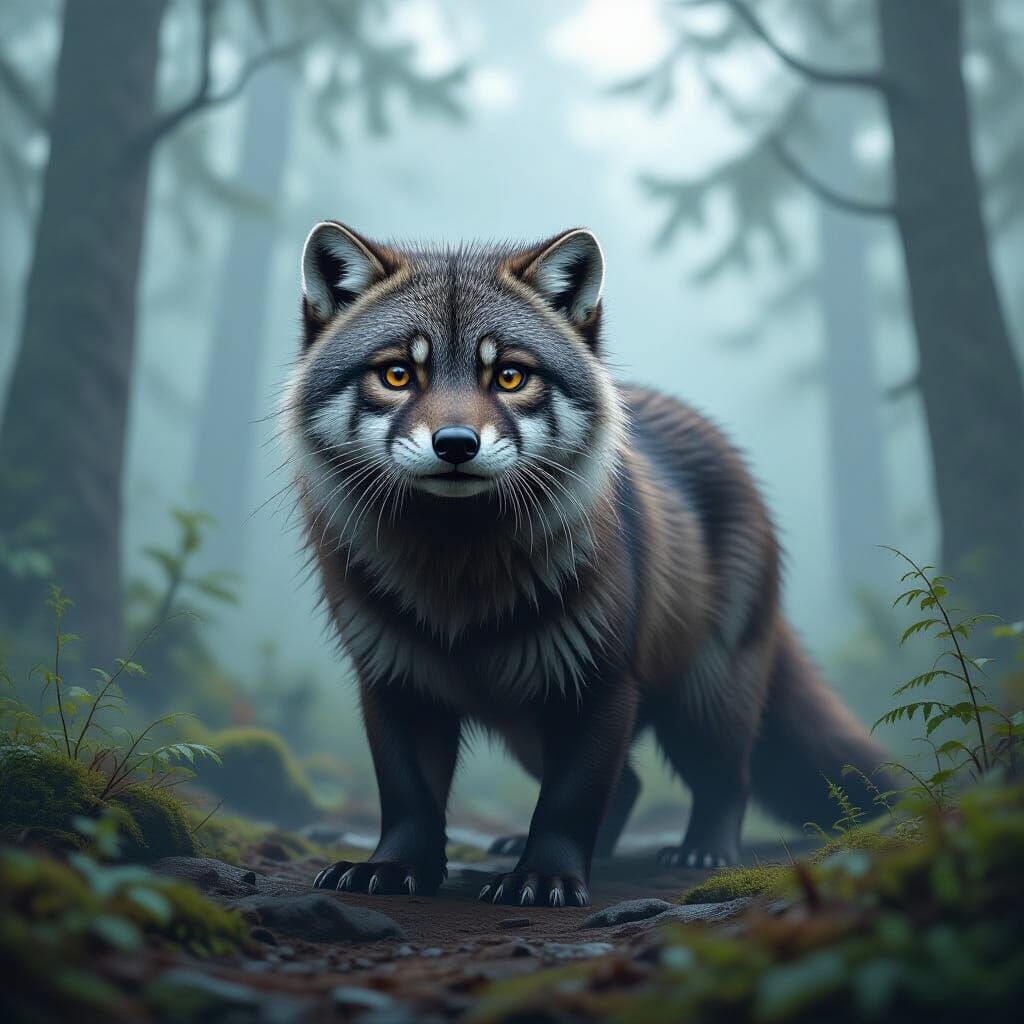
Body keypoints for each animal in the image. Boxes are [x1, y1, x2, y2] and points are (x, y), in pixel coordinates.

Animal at [285, 221, 887, 908]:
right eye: (397, 374)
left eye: (510, 377)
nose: (456, 445)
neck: (460, 578)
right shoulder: (392, 679)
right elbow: (408, 796)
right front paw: (394, 869)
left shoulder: (600, 681)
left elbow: (571, 800)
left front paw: (545, 878)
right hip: (526, 726)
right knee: (631, 784)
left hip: (702, 700)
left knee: (723, 779)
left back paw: (701, 852)